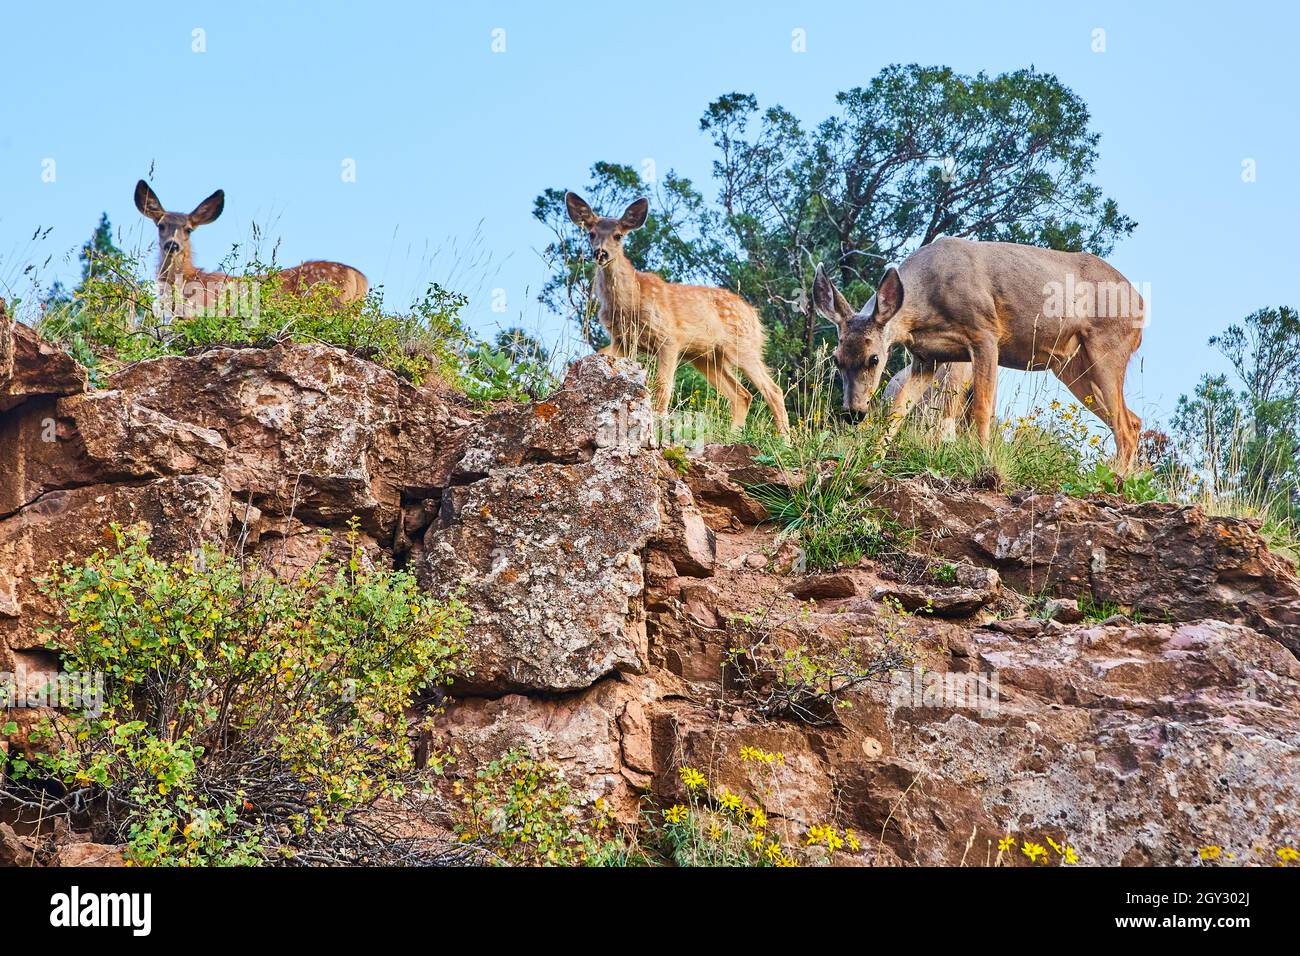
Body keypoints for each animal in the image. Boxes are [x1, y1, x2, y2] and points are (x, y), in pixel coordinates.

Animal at [565, 193, 790, 436]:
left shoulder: (669, 338)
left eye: (618, 235)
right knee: (742, 395)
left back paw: (784, 439)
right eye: (591, 234)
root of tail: (754, 314)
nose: (600, 253)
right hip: (707, 357)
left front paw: (658, 422)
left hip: (742, 345)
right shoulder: (621, 339)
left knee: (773, 390)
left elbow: (663, 387)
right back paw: (733, 434)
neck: (629, 302)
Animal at [813, 236, 1144, 471]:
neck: (924, 309)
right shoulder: (926, 359)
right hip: (1070, 365)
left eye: (874, 358)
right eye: (836, 359)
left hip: (1107, 347)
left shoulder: (985, 334)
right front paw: (872, 457)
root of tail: (1141, 304)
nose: (853, 413)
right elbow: (897, 410)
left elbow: (982, 410)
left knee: (1125, 426)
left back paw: (1115, 480)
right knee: (1132, 420)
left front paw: (984, 461)